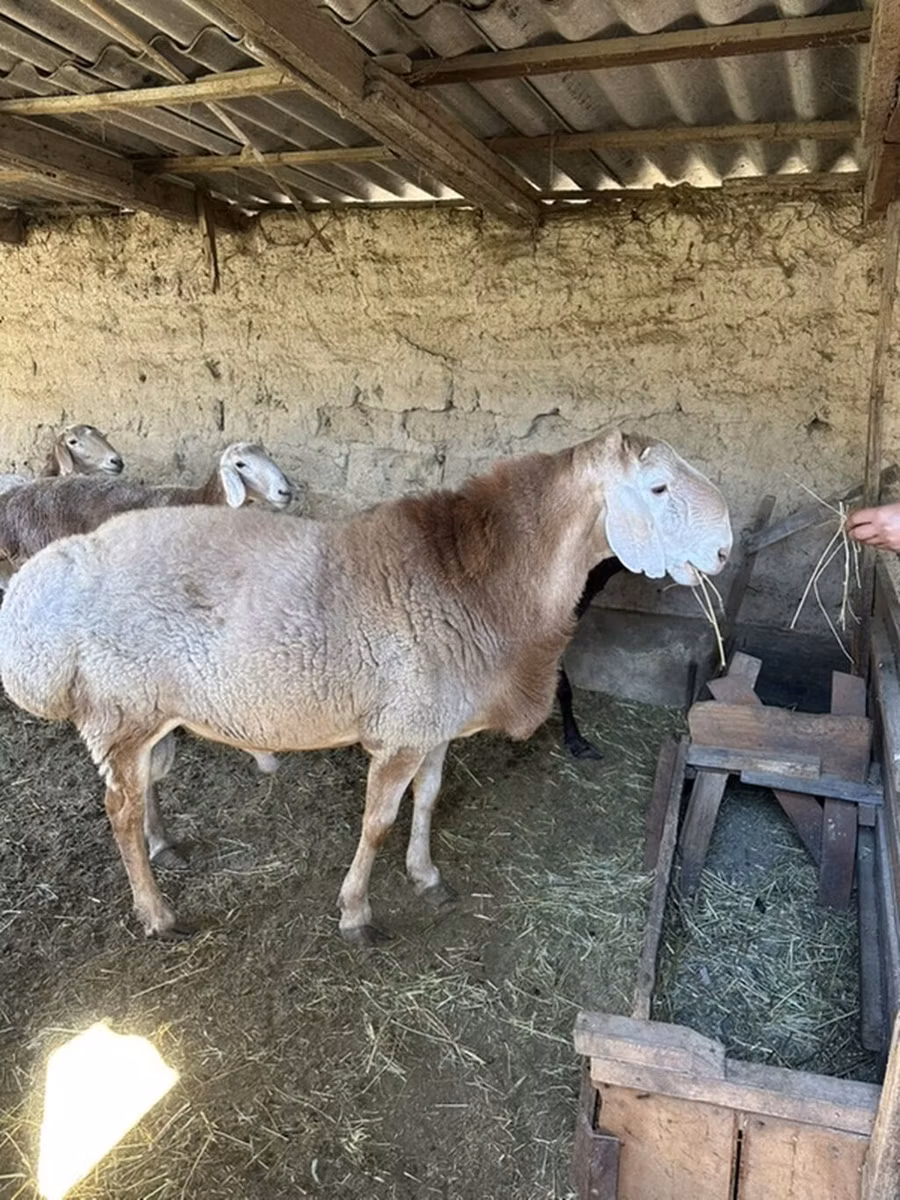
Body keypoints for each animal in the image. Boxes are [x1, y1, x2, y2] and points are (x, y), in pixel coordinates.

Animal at [0, 428, 732, 945]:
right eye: (658, 488)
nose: (725, 550)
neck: (482, 581)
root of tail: (57, 573)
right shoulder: (402, 733)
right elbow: (377, 822)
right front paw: (357, 913)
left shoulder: (433, 724)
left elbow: (428, 801)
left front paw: (427, 875)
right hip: (120, 709)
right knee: (117, 811)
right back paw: (157, 913)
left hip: (149, 712)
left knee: (145, 786)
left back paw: (164, 846)